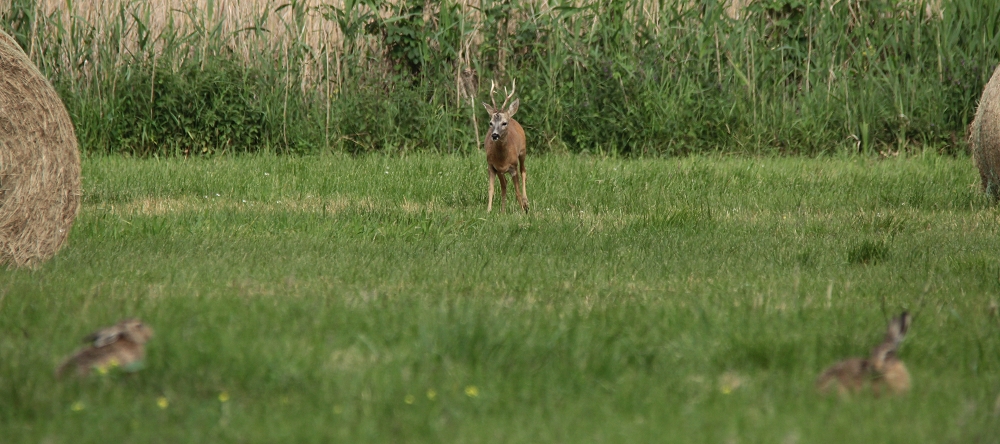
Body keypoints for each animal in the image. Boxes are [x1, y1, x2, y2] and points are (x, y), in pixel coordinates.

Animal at [480, 80, 528, 213]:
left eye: (504, 123)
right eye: (490, 123)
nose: (494, 135)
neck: (503, 158)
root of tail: (513, 116)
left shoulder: (513, 167)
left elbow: (517, 192)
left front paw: (522, 211)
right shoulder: (492, 166)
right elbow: (491, 189)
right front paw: (488, 211)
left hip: (523, 151)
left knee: (524, 171)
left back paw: (526, 202)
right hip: (500, 171)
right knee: (504, 184)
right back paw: (502, 210)